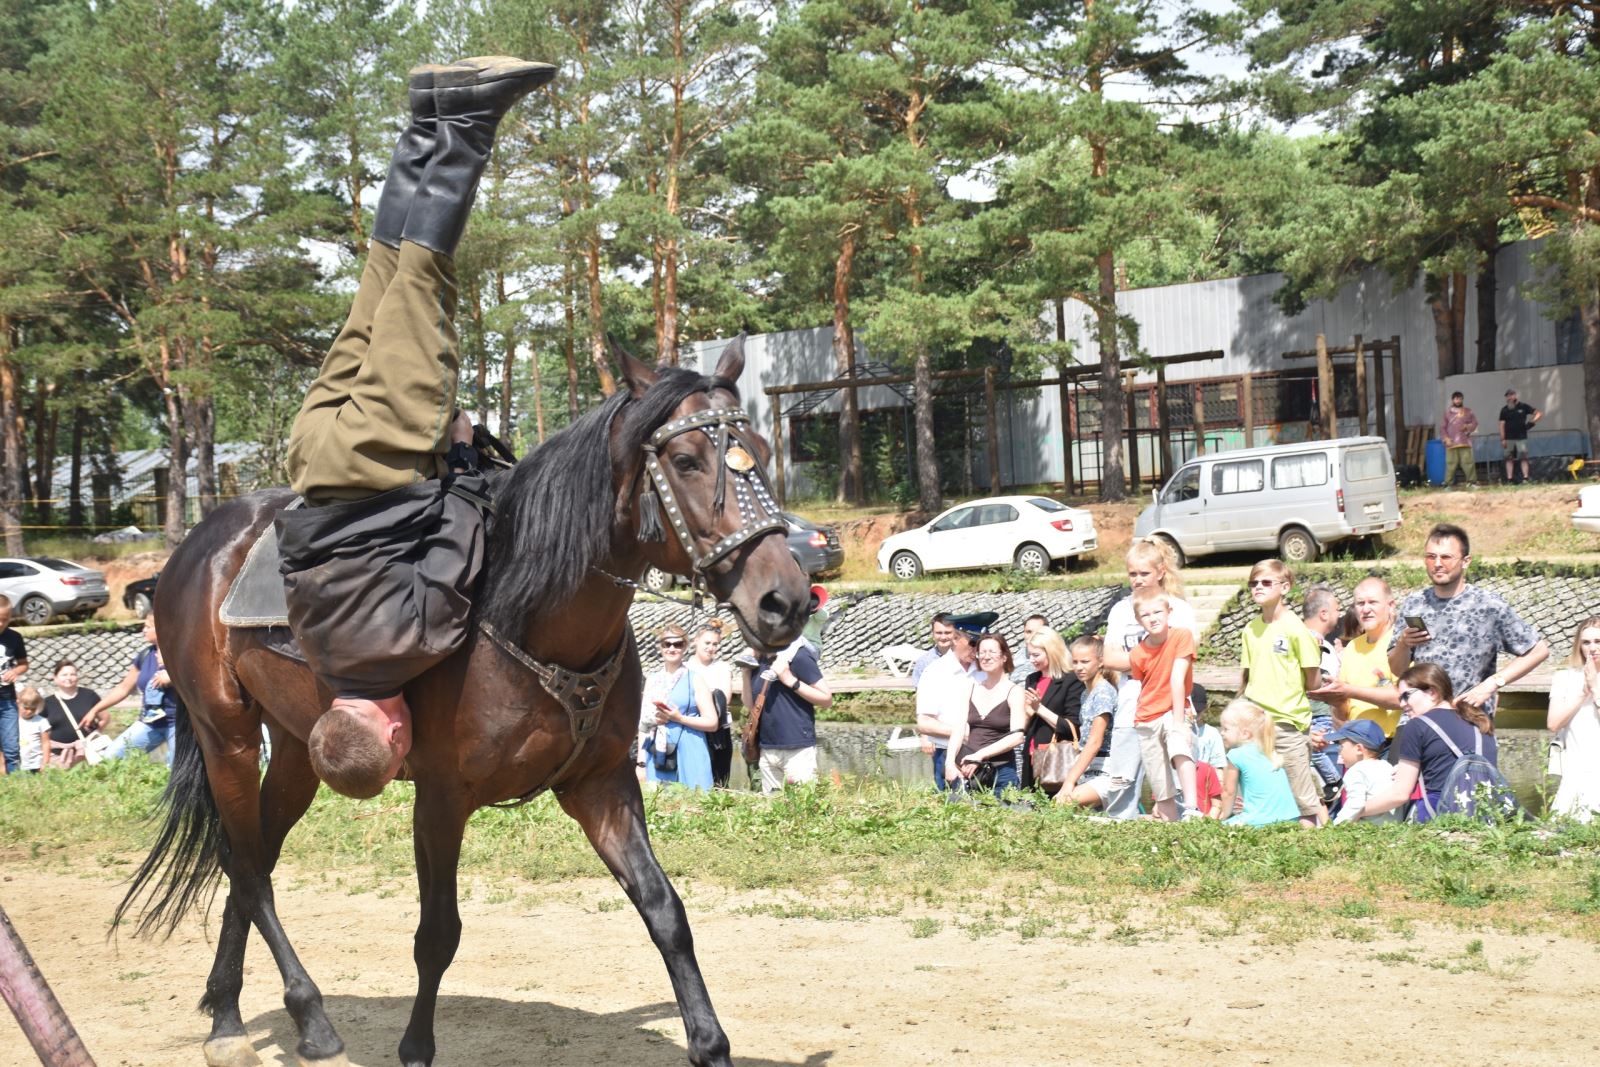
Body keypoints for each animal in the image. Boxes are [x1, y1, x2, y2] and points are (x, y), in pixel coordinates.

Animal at [116, 343, 806, 1067]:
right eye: (687, 460)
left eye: (762, 448)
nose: (784, 600)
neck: (526, 612)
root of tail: (195, 546)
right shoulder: (441, 799)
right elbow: (437, 933)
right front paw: (416, 1046)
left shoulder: (603, 785)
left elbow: (665, 910)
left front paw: (709, 1042)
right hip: (227, 734)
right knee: (247, 867)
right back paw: (291, 1014)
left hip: (297, 753)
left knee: (252, 860)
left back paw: (238, 1012)